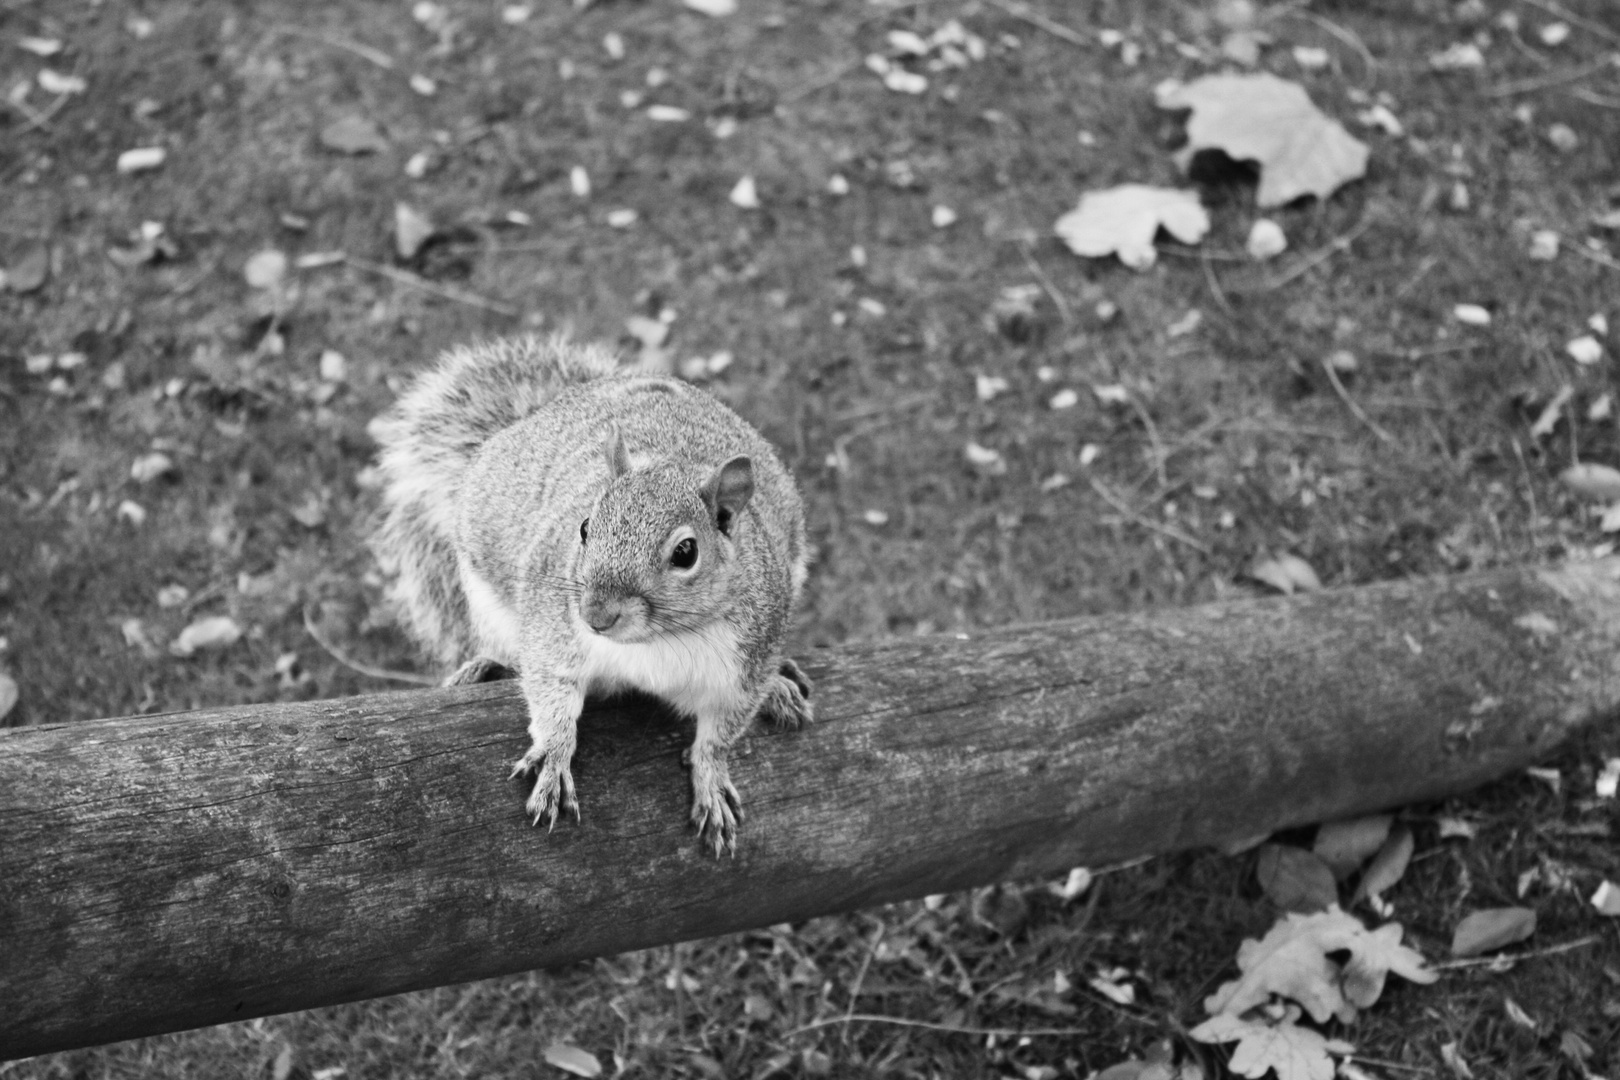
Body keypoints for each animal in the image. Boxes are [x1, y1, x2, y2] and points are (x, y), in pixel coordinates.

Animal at [372, 333, 816, 854]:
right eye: (584, 527)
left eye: (686, 552)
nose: (595, 615)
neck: (655, 642)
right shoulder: (553, 625)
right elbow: (551, 692)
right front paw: (553, 755)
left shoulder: (746, 661)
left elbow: (720, 734)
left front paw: (711, 778)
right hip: (490, 601)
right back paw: (485, 668)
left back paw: (780, 688)